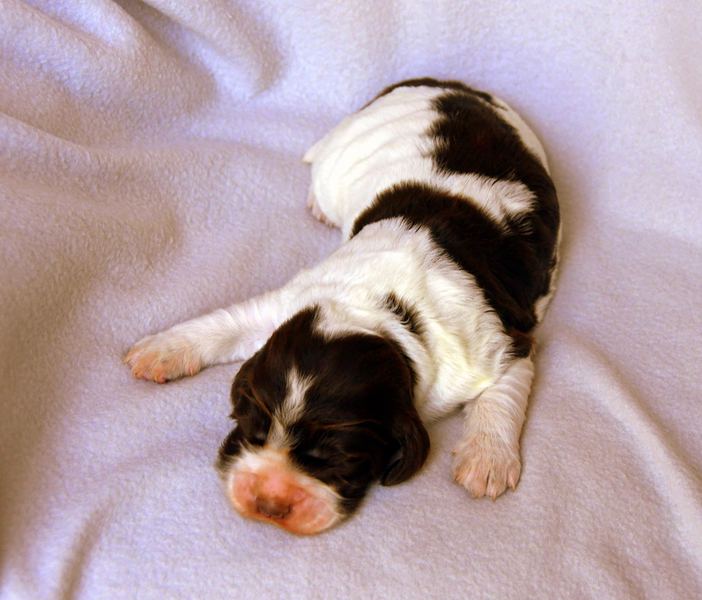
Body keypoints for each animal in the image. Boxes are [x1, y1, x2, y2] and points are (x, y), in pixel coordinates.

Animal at [125, 78, 560, 535]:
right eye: (252, 428)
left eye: (337, 458)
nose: (267, 503)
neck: (375, 313)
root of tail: (448, 84)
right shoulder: (292, 303)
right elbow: (228, 322)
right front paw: (160, 351)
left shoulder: (498, 345)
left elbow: (503, 395)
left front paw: (486, 460)